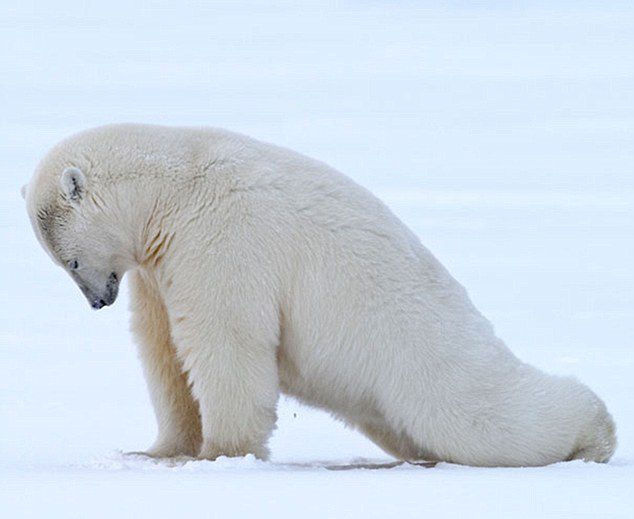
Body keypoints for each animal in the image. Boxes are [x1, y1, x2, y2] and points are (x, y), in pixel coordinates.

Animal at [24, 125, 612, 468]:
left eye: (69, 261)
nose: (98, 301)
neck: (172, 189)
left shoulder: (223, 239)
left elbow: (226, 342)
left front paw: (221, 455)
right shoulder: (158, 268)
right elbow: (164, 352)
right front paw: (158, 451)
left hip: (420, 349)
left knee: (477, 415)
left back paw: (594, 433)